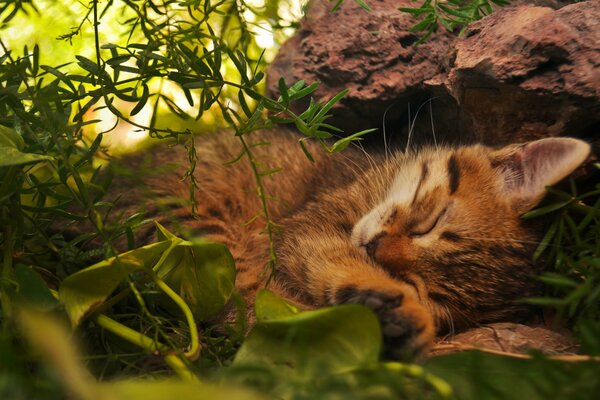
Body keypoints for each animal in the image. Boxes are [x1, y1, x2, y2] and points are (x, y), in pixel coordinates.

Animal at [105, 130, 588, 358]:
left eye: (424, 289)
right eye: (430, 223)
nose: (375, 251)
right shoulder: (308, 229)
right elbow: (332, 259)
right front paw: (395, 307)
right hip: (192, 226)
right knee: (241, 302)